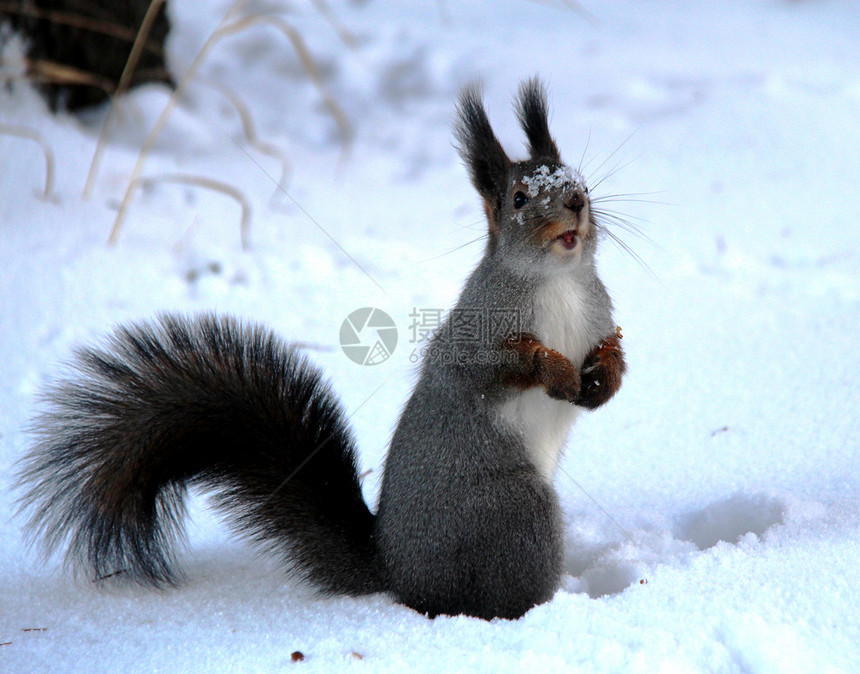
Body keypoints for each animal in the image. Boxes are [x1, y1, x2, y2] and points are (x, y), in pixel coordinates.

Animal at [16, 79, 620, 620]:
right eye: (519, 199)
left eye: (581, 182)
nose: (576, 202)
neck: (558, 281)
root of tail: (393, 570)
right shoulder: (478, 334)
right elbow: (495, 366)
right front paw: (556, 371)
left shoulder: (598, 313)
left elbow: (611, 350)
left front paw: (604, 381)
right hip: (513, 514)